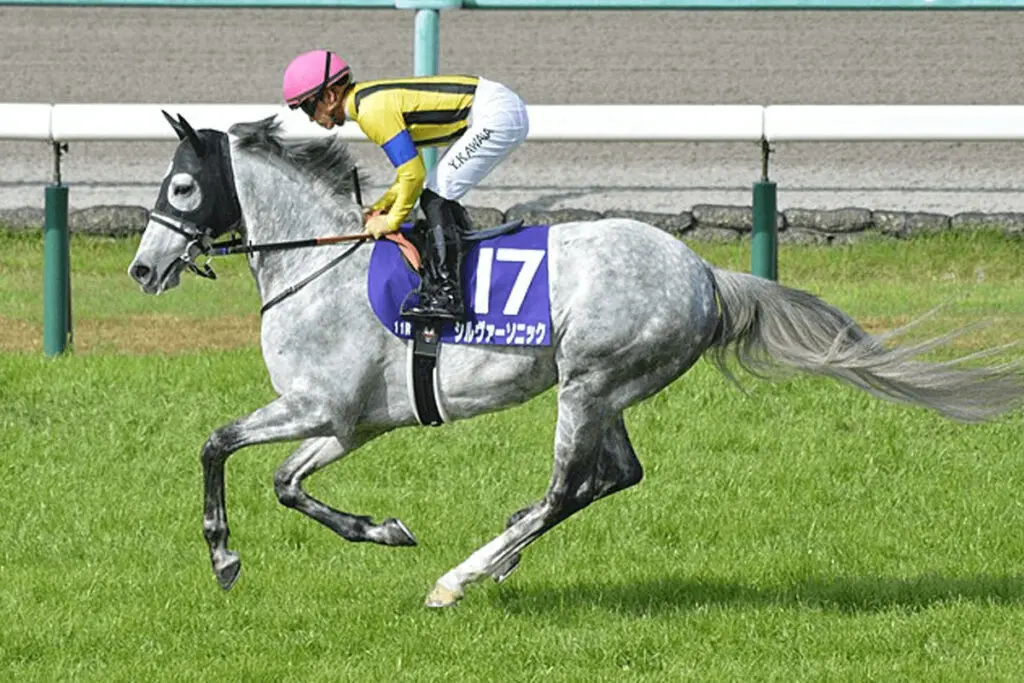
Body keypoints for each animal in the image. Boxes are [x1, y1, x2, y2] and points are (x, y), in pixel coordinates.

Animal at [127, 112, 1023, 608]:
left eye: (181, 188)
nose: (142, 268)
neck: (322, 261)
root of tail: (706, 272)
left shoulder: (323, 407)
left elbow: (214, 444)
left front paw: (223, 555)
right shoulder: (352, 423)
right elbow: (287, 483)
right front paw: (380, 527)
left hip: (590, 381)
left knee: (569, 485)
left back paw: (461, 576)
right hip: (607, 389)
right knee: (612, 477)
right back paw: (501, 550)